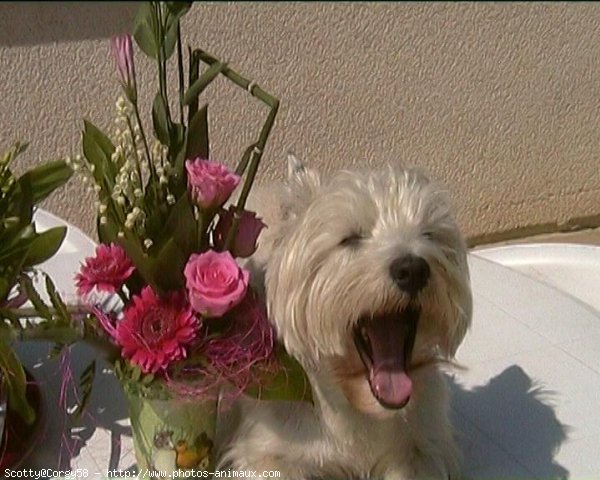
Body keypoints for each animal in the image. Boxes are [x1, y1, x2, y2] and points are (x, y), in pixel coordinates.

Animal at [217, 156, 474, 478]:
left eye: (430, 235)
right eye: (350, 239)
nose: (413, 269)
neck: (356, 403)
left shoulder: (424, 446)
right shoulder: (265, 453)